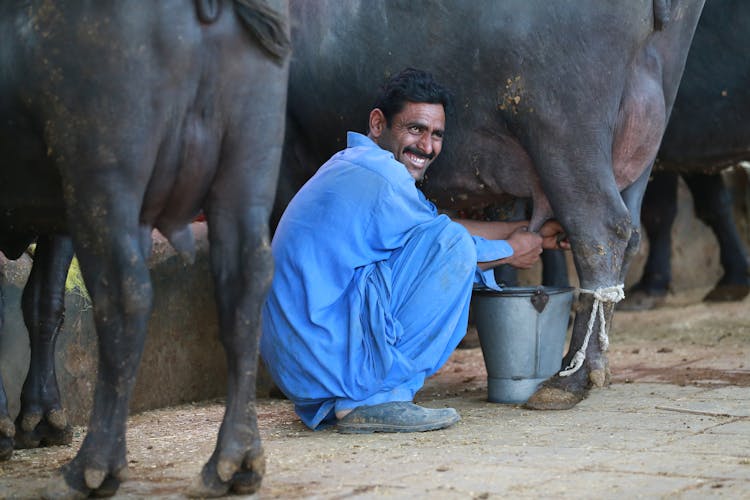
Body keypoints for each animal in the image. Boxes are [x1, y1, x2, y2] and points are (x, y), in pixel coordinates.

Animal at [1, 1, 290, 498]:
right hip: (246, 171)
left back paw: (93, 467)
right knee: (246, 288)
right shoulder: (56, 215)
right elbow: (43, 303)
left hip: (103, 177)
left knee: (125, 299)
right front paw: (39, 416)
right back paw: (235, 461)